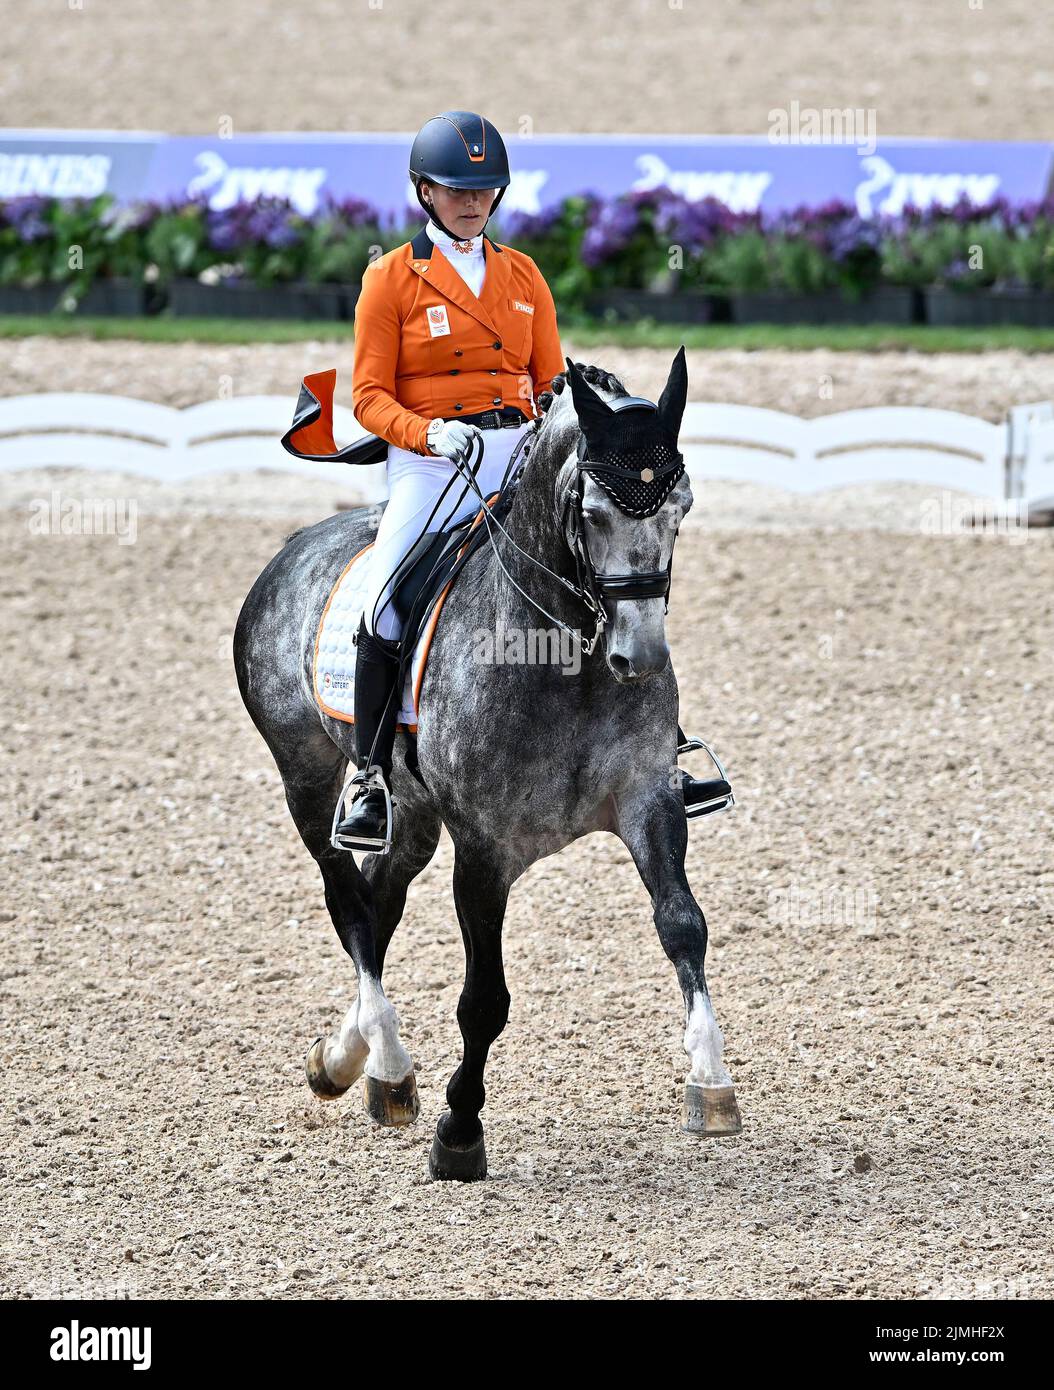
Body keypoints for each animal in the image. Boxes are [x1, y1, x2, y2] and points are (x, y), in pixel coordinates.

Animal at [234, 353, 745, 1178]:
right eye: (591, 513)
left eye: (683, 508)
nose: (639, 658)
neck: (564, 652)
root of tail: (295, 548)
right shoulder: (483, 850)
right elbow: (485, 1000)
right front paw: (460, 1133)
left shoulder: (649, 802)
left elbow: (682, 926)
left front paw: (710, 1078)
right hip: (304, 775)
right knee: (348, 900)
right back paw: (387, 1059)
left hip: (411, 813)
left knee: (379, 898)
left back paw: (353, 1061)